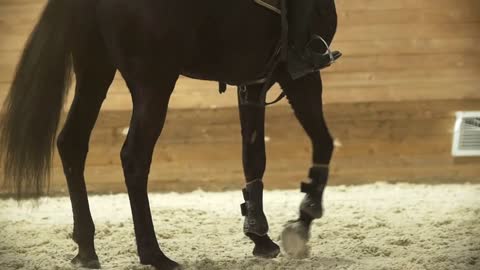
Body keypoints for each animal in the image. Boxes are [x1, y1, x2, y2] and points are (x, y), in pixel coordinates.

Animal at [0, 0, 338, 268]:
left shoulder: (254, 81)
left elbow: (254, 155)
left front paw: (260, 235)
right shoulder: (300, 73)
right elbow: (324, 143)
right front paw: (304, 219)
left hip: (96, 70)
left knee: (72, 143)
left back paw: (86, 250)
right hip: (153, 83)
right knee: (134, 158)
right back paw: (153, 254)